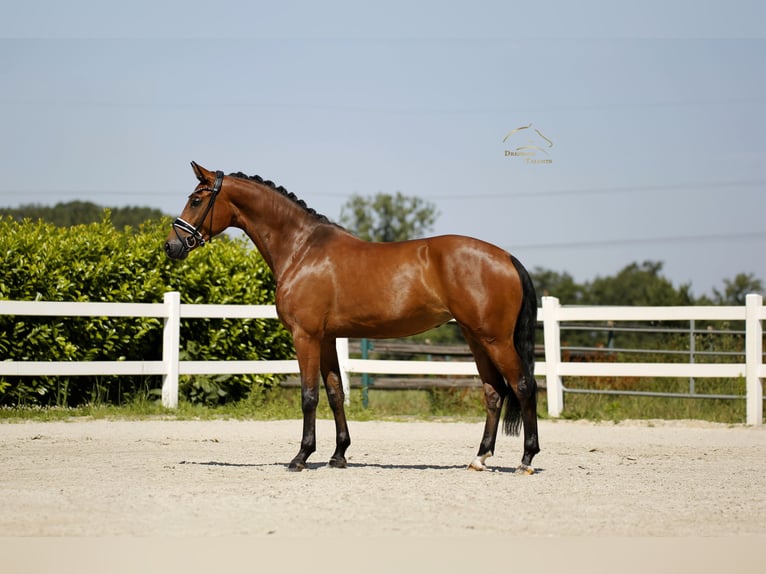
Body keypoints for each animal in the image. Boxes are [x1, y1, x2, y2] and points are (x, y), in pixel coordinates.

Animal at [165, 162, 540, 473]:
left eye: (196, 200)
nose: (172, 246)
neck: (302, 249)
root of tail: (506, 257)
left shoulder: (306, 336)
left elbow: (309, 395)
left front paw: (301, 457)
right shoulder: (327, 338)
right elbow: (335, 393)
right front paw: (338, 455)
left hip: (495, 339)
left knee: (523, 386)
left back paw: (526, 459)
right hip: (477, 338)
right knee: (494, 392)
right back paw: (480, 458)